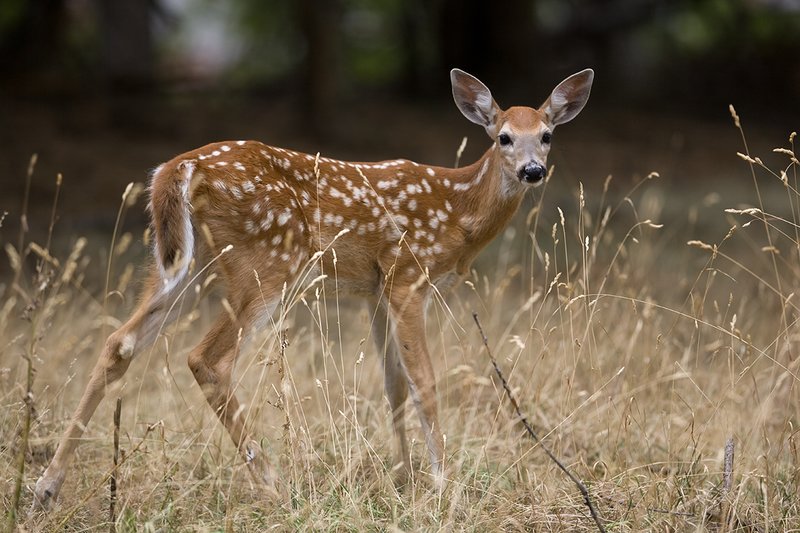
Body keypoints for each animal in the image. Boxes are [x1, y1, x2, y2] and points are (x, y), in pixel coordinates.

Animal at [32, 67, 593, 510]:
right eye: (503, 137)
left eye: (547, 135)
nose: (533, 170)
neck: (458, 212)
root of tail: (178, 168)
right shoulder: (408, 275)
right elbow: (425, 382)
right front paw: (441, 484)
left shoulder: (376, 290)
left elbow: (392, 385)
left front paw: (404, 480)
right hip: (266, 261)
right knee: (206, 358)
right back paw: (276, 486)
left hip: (181, 262)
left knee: (119, 342)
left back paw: (46, 487)